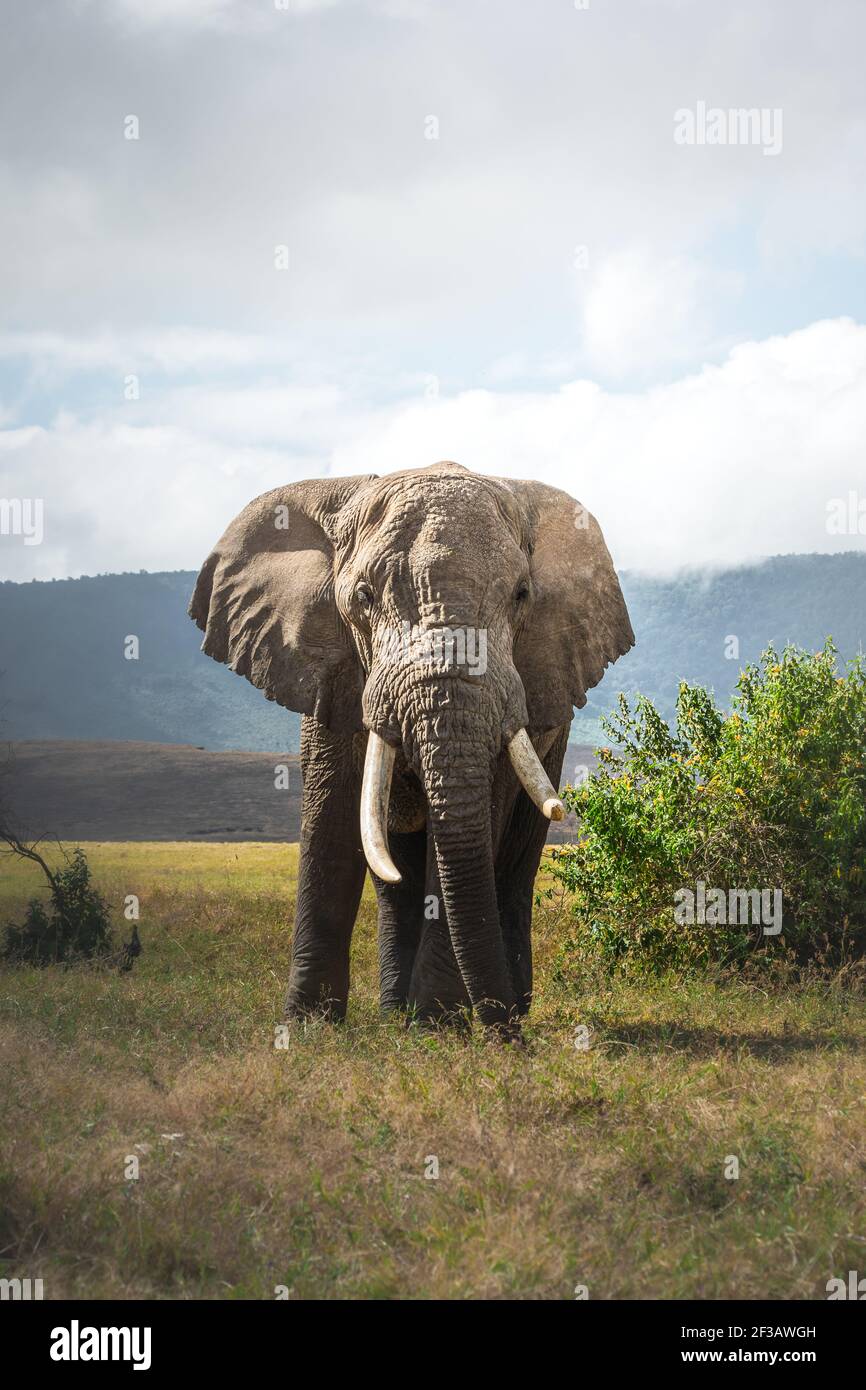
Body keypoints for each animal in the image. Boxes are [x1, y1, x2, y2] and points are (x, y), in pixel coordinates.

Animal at [189, 461, 633, 1039]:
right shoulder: (333, 673)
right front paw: (308, 1028)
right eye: (362, 597)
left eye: (521, 596)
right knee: (395, 872)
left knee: (513, 860)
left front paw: (438, 1027)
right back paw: (398, 1013)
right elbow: (332, 820)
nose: (511, 1043)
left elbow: (470, 831)